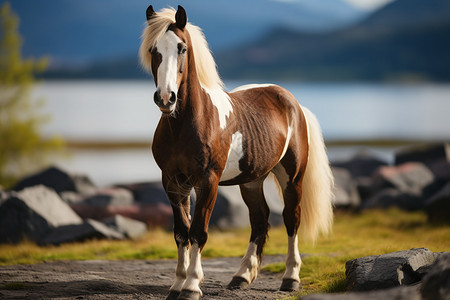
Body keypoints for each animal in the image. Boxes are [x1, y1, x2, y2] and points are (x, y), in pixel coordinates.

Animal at [140, 5, 334, 300]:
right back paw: (241, 277)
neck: (186, 123)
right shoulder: (173, 182)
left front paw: (192, 285)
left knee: (291, 220)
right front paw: (177, 285)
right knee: (260, 220)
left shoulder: (208, 181)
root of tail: (294, 103)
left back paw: (290, 278)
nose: (165, 98)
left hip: (292, 177)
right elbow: (181, 232)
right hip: (252, 180)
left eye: (182, 48)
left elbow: (198, 232)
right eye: (154, 50)